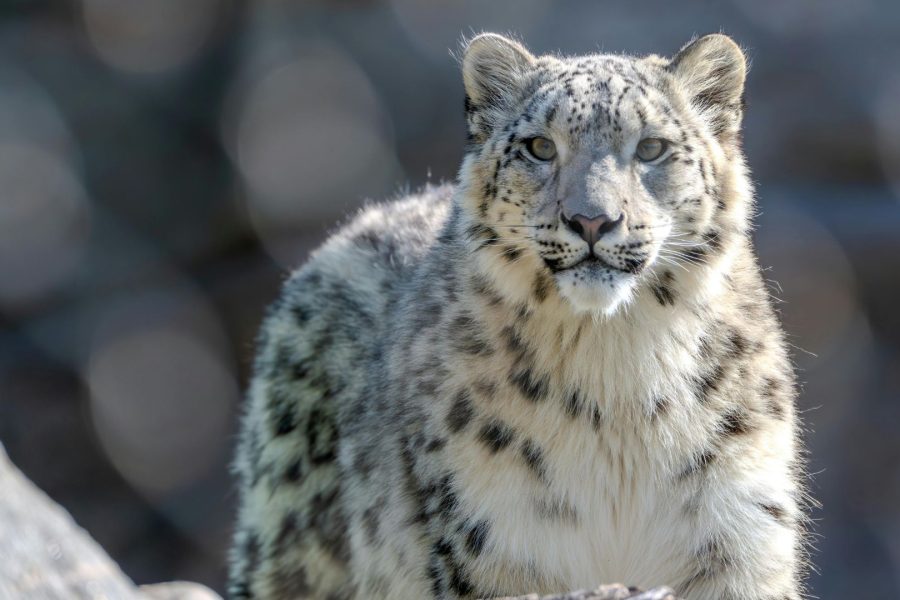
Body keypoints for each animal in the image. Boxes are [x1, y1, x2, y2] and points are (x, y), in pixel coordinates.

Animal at [228, 32, 809, 600]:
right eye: (539, 147)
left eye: (651, 148)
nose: (592, 220)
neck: (617, 370)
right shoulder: (494, 533)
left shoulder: (737, 526)